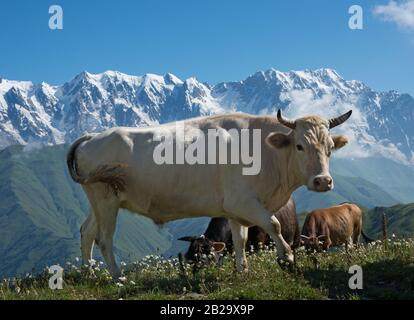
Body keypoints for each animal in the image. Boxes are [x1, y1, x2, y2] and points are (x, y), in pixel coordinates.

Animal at [66, 110, 350, 278]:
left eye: (329, 147)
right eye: (300, 146)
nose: (323, 181)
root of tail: (92, 136)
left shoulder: (235, 209)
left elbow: (240, 240)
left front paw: (242, 270)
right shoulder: (245, 202)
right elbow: (274, 224)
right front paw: (287, 258)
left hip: (99, 201)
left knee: (86, 231)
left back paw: (89, 274)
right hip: (105, 200)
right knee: (104, 238)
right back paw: (118, 276)